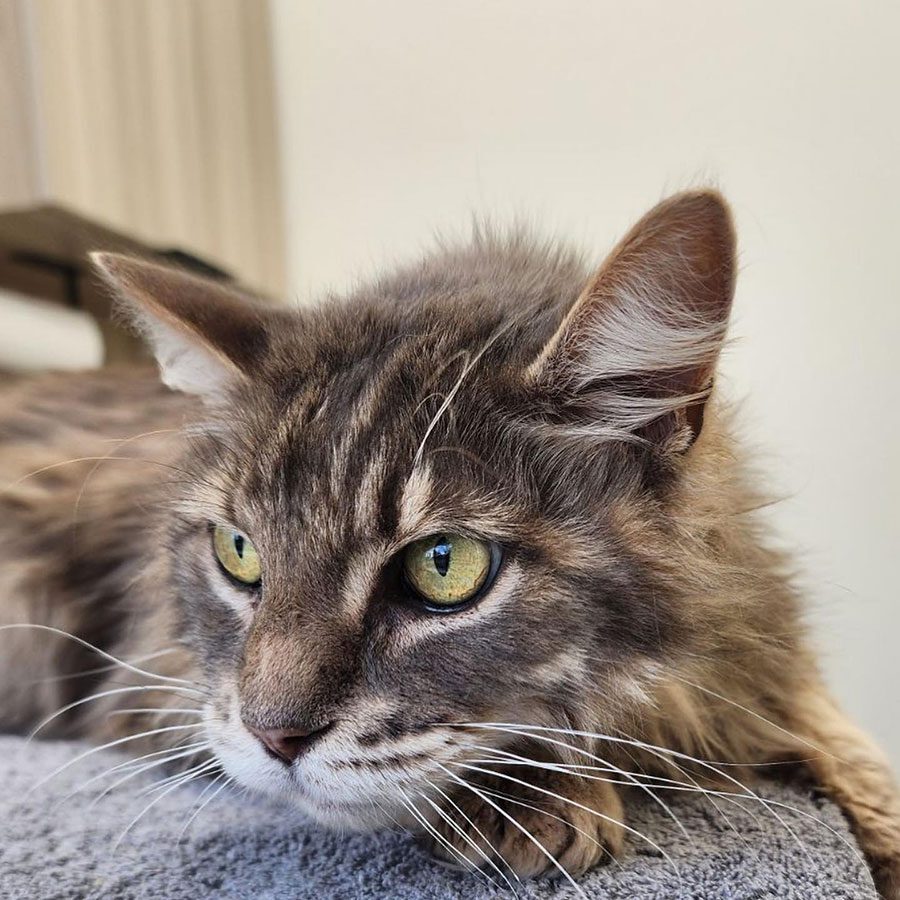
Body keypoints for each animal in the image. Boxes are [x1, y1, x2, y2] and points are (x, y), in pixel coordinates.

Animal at [1, 190, 900, 892]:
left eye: (445, 566)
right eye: (239, 552)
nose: (274, 737)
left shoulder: (759, 643)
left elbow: (838, 735)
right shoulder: (155, 677)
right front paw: (537, 798)